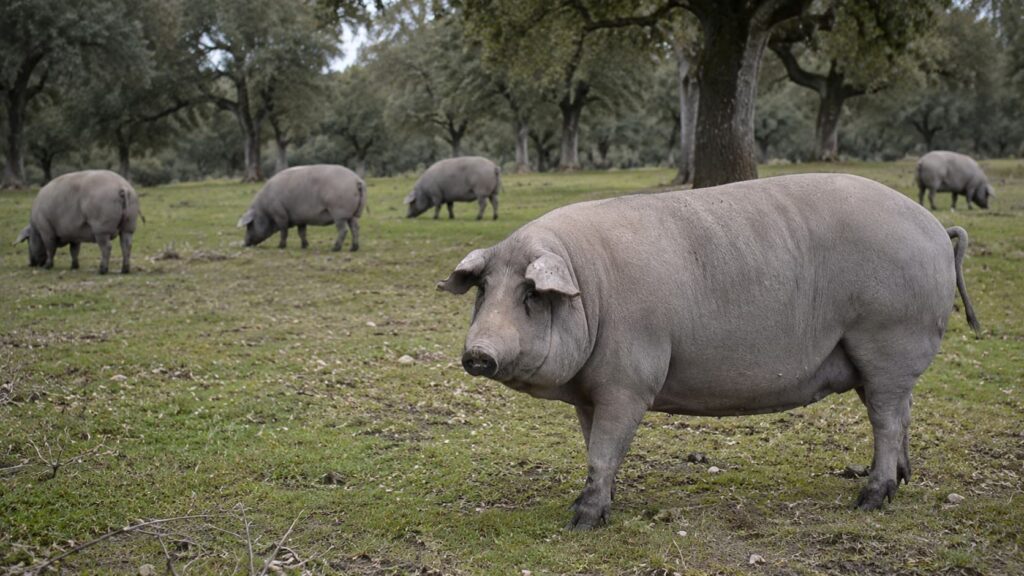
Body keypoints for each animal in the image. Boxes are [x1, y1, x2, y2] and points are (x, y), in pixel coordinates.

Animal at [237, 164, 366, 251]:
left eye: (249, 225)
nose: (244, 243)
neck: (265, 211)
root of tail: (357, 180)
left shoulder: (280, 214)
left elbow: (284, 231)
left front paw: (280, 246)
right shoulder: (301, 219)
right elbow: (301, 232)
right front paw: (304, 246)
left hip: (339, 213)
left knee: (343, 230)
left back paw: (334, 249)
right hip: (352, 215)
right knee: (356, 228)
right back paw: (353, 248)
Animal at [438, 173, 980, 530]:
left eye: (531, 293)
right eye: (483, 289)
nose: (478, 354)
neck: (592, 290)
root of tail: (936, 226)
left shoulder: (630, 380)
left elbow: (604, 450)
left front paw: (582, 522)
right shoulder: (590, 392)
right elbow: (597, 448)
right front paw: (601, 503)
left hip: (889, 339)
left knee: (887, 420)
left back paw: (869, 499)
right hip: (879, 359)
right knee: (902, 413)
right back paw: (898, 481)